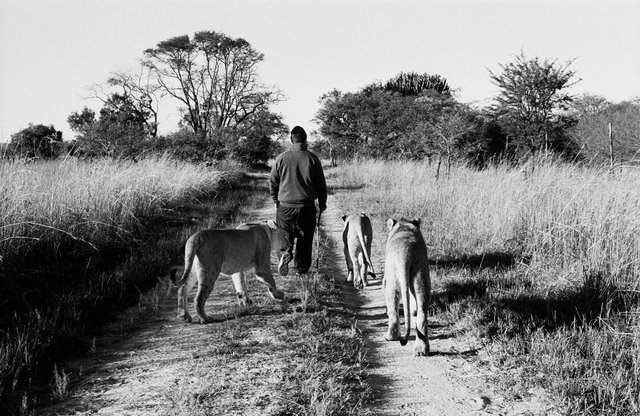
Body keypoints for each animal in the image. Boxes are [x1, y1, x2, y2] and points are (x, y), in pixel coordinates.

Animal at [382, 216, 432, 356]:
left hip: (392, 280)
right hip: (421, 276)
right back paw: (421, 349)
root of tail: (405, 251)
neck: (404, 226)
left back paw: (391, 337)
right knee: (422, 313)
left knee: (393, 311)